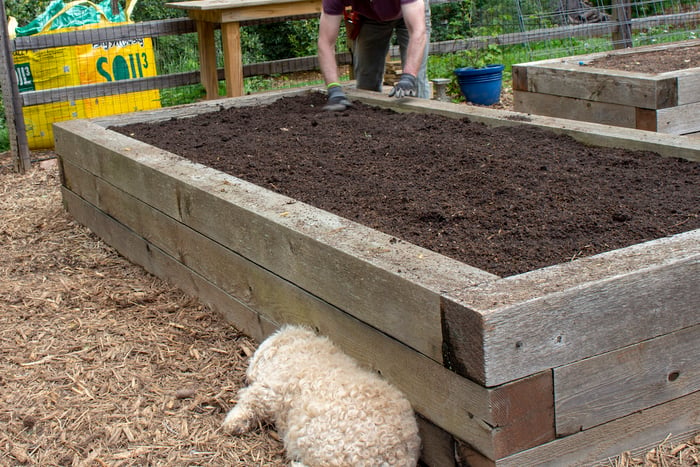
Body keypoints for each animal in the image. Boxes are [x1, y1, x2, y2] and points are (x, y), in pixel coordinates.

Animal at [223, 326, 422, 467]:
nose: (246, 376)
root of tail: (397, 455)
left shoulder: (270, 389)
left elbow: (250, 402)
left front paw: (232, 423)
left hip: (329, 449)